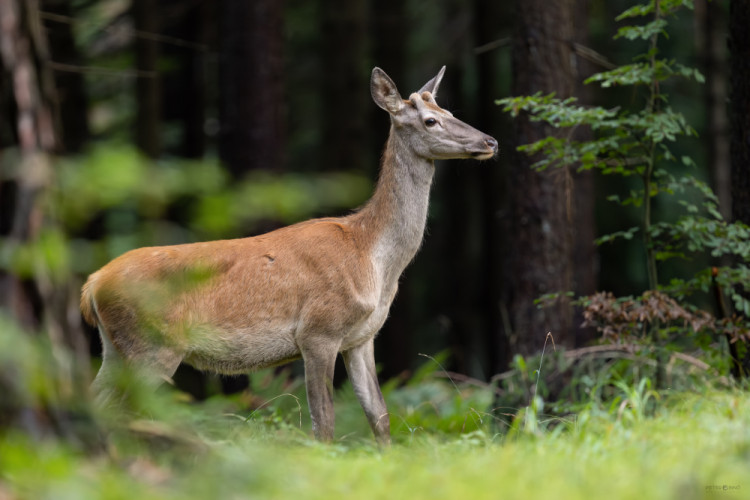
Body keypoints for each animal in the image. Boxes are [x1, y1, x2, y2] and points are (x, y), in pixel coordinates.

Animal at [81, 66, 500, 446]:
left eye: (449, 110)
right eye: (431, 120)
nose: (491, 141)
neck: (373, 257)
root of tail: (91, 285)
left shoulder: (361, 338)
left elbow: (379, 417)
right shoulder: (318, 331)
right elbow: (324, 423)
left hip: (116, 349)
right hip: (152, 345)